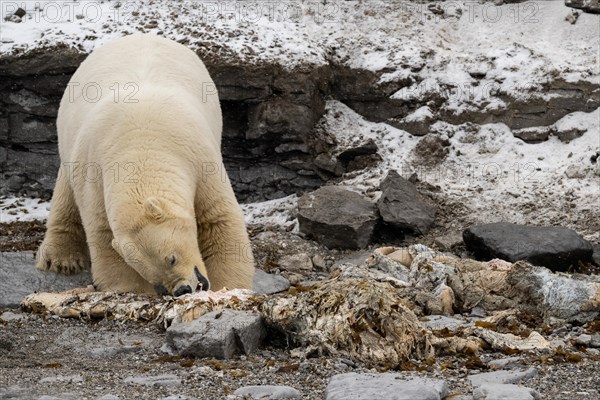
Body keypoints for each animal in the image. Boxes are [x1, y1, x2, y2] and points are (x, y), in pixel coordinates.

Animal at [37, 34, 253, 296]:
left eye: (171, 258)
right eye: (152, 276)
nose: (182, 289)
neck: (142, 151)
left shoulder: (199, 159)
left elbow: (218, 219)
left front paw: (229, 287)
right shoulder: (95, 176)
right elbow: (103, 237)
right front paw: (131, 289)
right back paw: (61, 259)